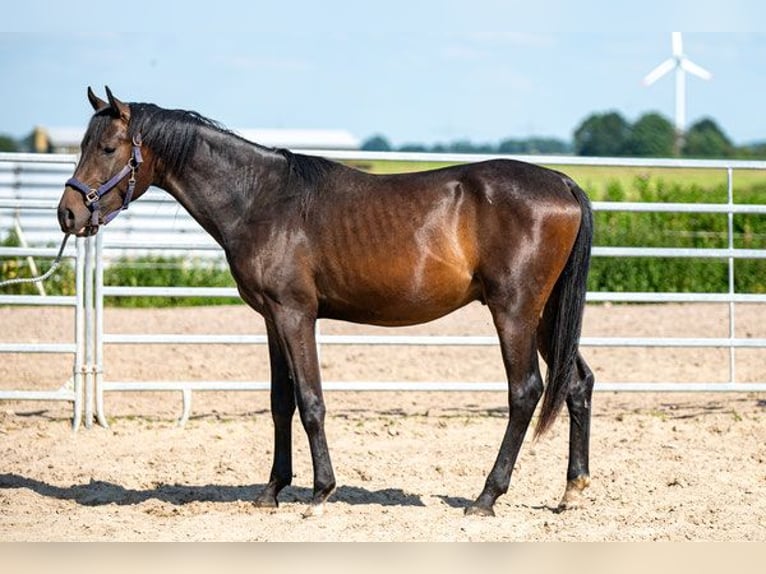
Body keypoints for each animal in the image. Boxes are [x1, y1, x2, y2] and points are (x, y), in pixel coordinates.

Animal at [58, 86, 600, 520]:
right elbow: (280, 402)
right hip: (547, 315)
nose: (67, 214)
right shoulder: (271, 319)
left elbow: (310, 401)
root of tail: (563, 183)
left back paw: (486, 497)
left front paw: (321, 491)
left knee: (525, 392)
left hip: (514, 312)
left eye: (108, 147)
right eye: (82, 145)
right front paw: (272, 490)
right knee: (577, 382)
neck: (261, 199)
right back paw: (572, 490)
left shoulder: (296, 314)